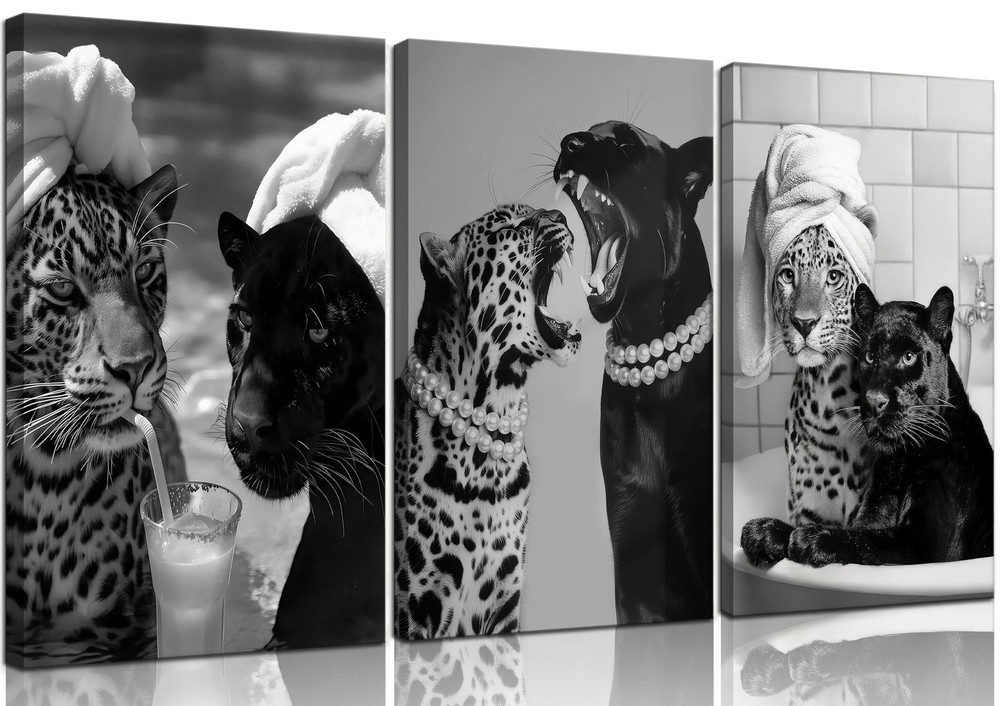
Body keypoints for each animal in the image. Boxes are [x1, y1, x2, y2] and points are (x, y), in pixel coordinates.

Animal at [741, 220, 877, 569]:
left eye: (834, 277)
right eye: (788, 275)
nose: (804, 323)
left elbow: (862, 540)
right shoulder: (809, 510)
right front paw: (766, 535)